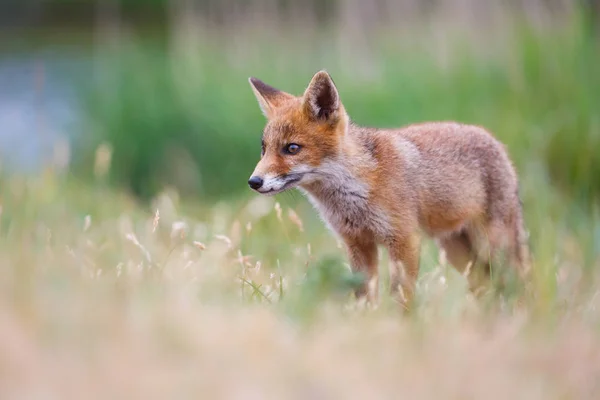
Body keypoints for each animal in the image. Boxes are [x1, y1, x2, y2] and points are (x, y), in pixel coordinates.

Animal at [247, 70, 528, 308]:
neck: (356, 192)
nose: (254, 181)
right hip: (458, 252)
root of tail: (495, 140)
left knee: (519, 282)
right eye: (264, 149)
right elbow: (364, 296)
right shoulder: (358, 244)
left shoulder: (404, 239)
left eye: (292, 148)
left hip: (493, 246)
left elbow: (401, 298)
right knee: (486, 288)